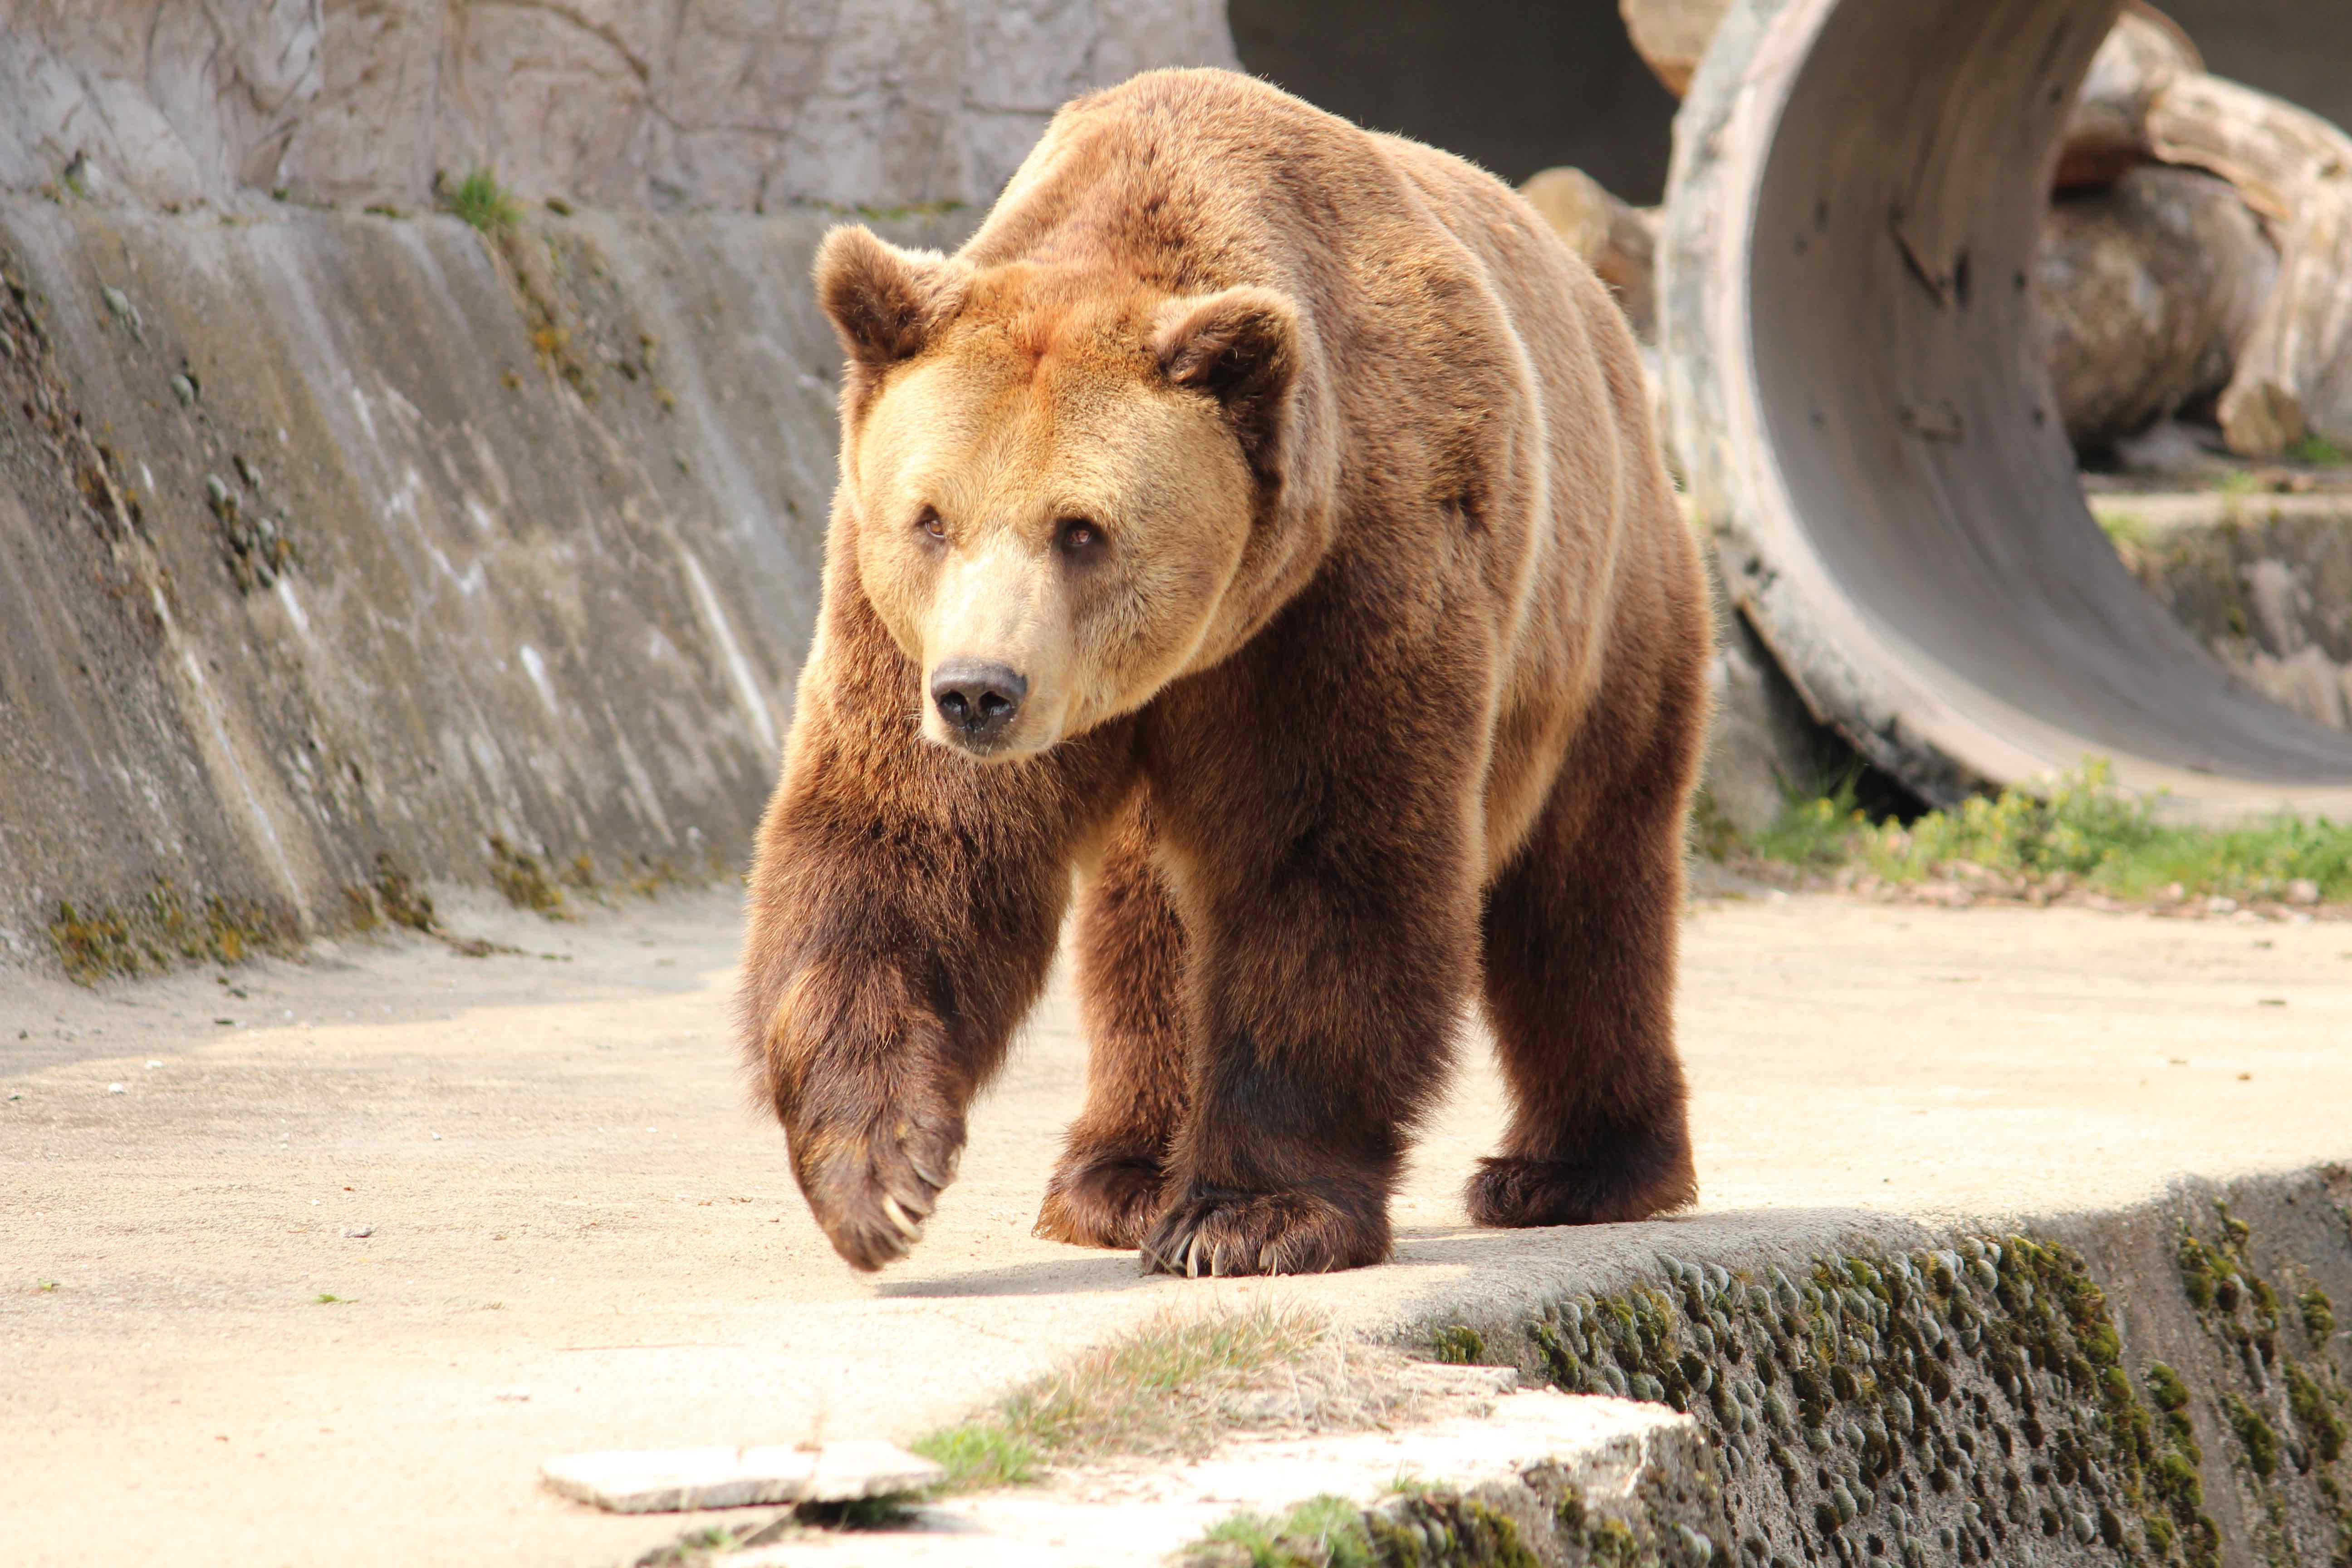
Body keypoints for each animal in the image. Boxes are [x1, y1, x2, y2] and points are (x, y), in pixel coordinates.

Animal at [743, 67, 1721, 1279]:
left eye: (1081, 529)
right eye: (930, 518)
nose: (979, 692)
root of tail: (1606, 315)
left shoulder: (1348, 583)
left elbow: (1321, 861)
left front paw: (1249, 1214)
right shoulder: (896, 625)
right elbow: (912, 840)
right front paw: (878, 1170)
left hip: (1601, 616)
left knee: (1584, 888)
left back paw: (1575, 1168)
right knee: (1147, 927)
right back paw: (1117, 1173)